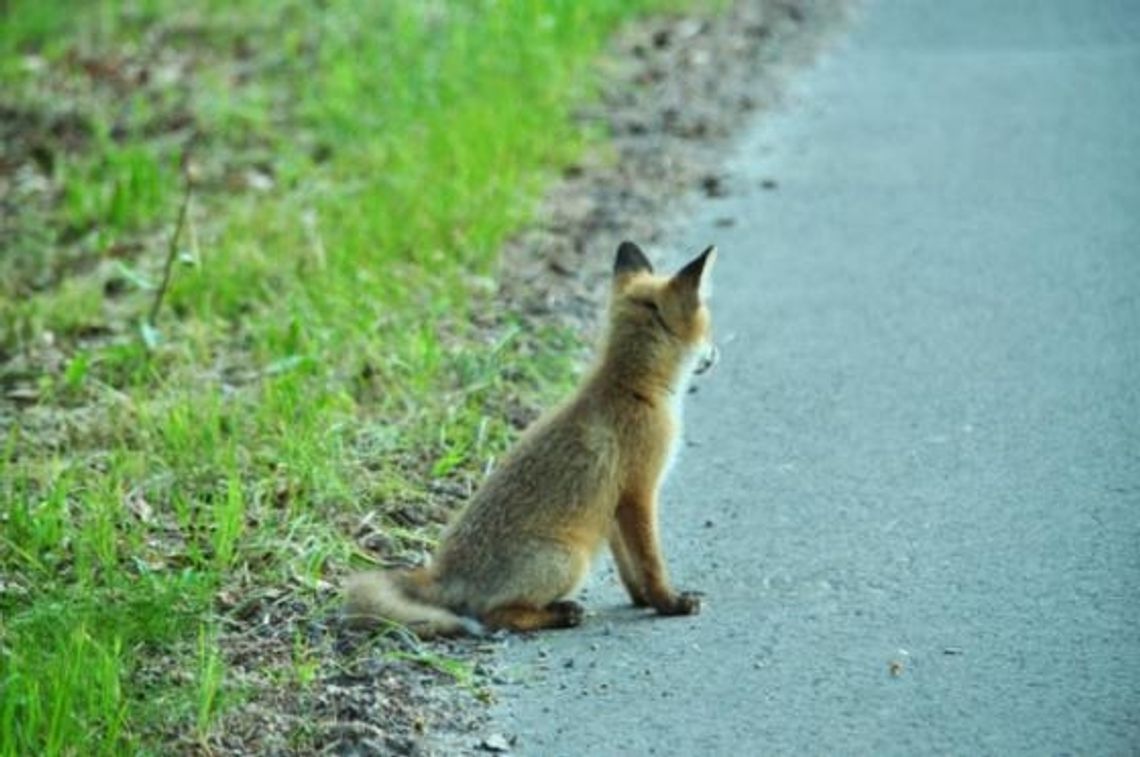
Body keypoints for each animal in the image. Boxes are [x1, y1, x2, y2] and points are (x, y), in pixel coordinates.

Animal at [342, 239, 715, 633]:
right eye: (707, 327)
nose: (715, 353)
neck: (634, 389)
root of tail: (438, 573)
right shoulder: (638, 491)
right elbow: (650, 561)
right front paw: (668, 602)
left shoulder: (613, 504)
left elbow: (630, 568)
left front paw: (642, 599)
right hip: (569, 559)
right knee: (493, 616)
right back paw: (562, 613)